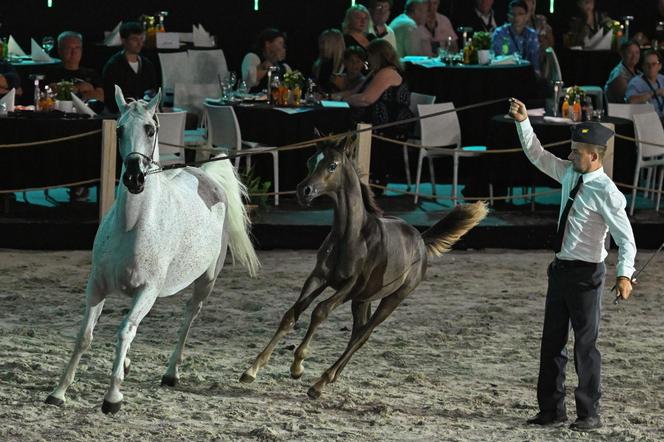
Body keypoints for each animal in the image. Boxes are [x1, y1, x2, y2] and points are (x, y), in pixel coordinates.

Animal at [44, 86, 260, 414]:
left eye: (150, 129)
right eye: (119, 129)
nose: (134, 178)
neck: (133, 225)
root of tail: (207, 175)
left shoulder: (148, 289)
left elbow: (123, 332)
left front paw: (112, 398)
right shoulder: (97, 286)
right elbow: (85, 336)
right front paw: (58, 392)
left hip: (205, 281)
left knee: (188, 317)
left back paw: (171, 373)